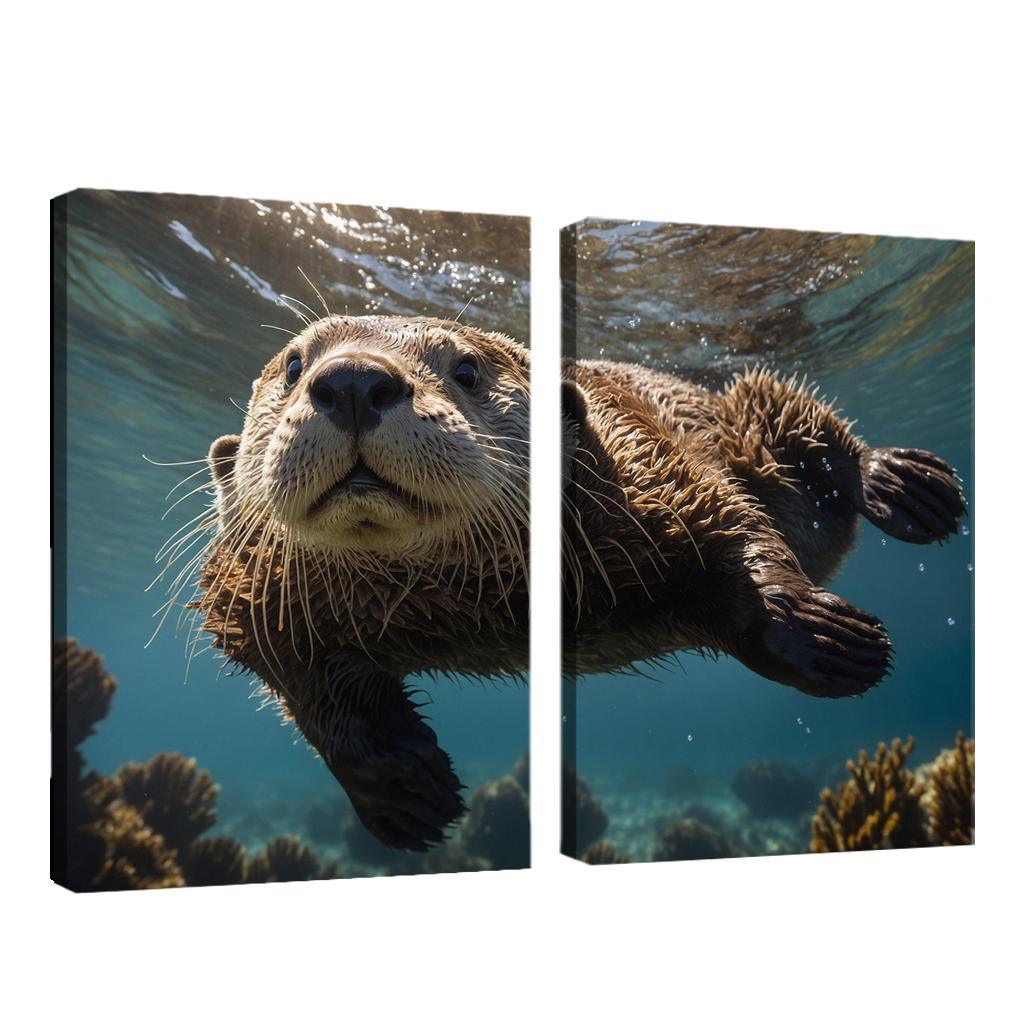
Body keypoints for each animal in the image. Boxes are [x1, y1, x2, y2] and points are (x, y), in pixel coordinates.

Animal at [561, 361, 965, 694]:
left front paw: (830, 633)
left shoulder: (648, 457)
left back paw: (910, 485)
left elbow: (735, 524)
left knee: (806, 423)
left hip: (747, 409)